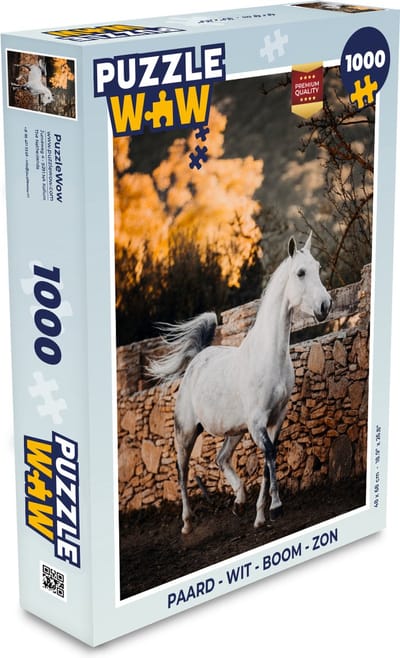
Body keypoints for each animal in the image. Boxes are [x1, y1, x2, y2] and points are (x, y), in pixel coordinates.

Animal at [148, 233, 332, 534]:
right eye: (300, 272)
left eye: (318, 267)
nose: (325, 306)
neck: (268, 357)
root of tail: (197, 359)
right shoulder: (257, 422)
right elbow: (269, 454)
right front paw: (275, 507)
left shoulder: (275, 418)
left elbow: (269, 459)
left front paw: (261, 515)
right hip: (185, 432)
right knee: (182, 469)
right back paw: (187, 523)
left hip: (234, 431)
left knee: (220, 458)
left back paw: (239, 501)